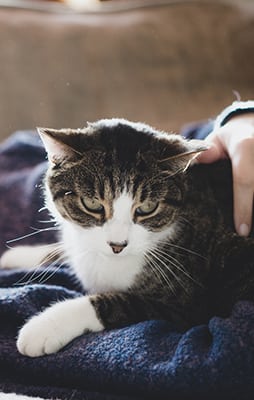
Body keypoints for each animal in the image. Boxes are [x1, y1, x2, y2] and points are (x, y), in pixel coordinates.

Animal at [0, 117, 254, 358]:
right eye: (92, 204)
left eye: (148, 207)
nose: (117, 245)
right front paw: (19, 255)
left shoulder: (190, 306)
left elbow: (120, 303)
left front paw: (45, 327)